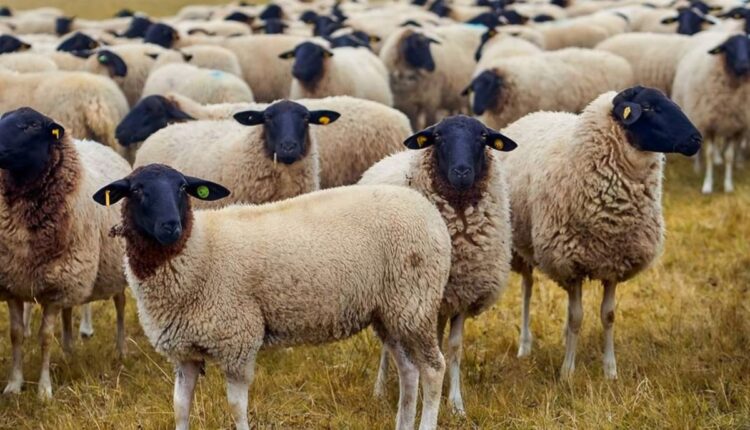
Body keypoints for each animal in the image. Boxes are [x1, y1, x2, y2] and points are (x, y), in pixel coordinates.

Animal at [0, 108, 130, 398]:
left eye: (31, 125)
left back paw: (120, 349)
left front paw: (44, 389)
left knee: (120, 304)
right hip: (72, 275)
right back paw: (70, 351)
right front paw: (14, 384)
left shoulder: (54, 289)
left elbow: (46, 337)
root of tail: (95, 143)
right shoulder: (14, 284)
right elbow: (16, 335)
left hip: (113, 266)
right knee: (69, 310)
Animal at [93, 164, 450, 430]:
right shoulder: (184, 351)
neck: (197, 248)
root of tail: (428, 210)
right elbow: (180, 407)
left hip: (415, 302)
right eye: (137, 190)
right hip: (390, 311)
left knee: (433, 370)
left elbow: (236, 407)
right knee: (409, 371)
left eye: (182, 188)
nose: (171, 226)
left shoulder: (237, 339)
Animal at [360, 115, 516, 415]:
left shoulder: (463, 293)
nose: (462, 171)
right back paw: (379, 389)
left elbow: (453, 348)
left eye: (482, 137)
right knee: (387, 346)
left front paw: (455, 403)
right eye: (439, 137)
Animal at [500, 86, 702, 379]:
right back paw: (524, 345)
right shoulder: (570, 262)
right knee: (527, 288)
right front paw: (567, 372)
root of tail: (533, 115)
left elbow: (608, 316)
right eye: (649, 107)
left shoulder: (613, 263)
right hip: (520, 246)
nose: (696, 139)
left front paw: (610, 370)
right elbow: (577, 317)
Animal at [672, 34, 750, 194]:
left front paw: (728, 185)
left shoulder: (734, 126)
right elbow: (709, 155)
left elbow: (729, 156)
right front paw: (707, 185)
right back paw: (697, 168)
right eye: (729, 48)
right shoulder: (710, 125)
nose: (744, 66)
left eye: (749, 46)